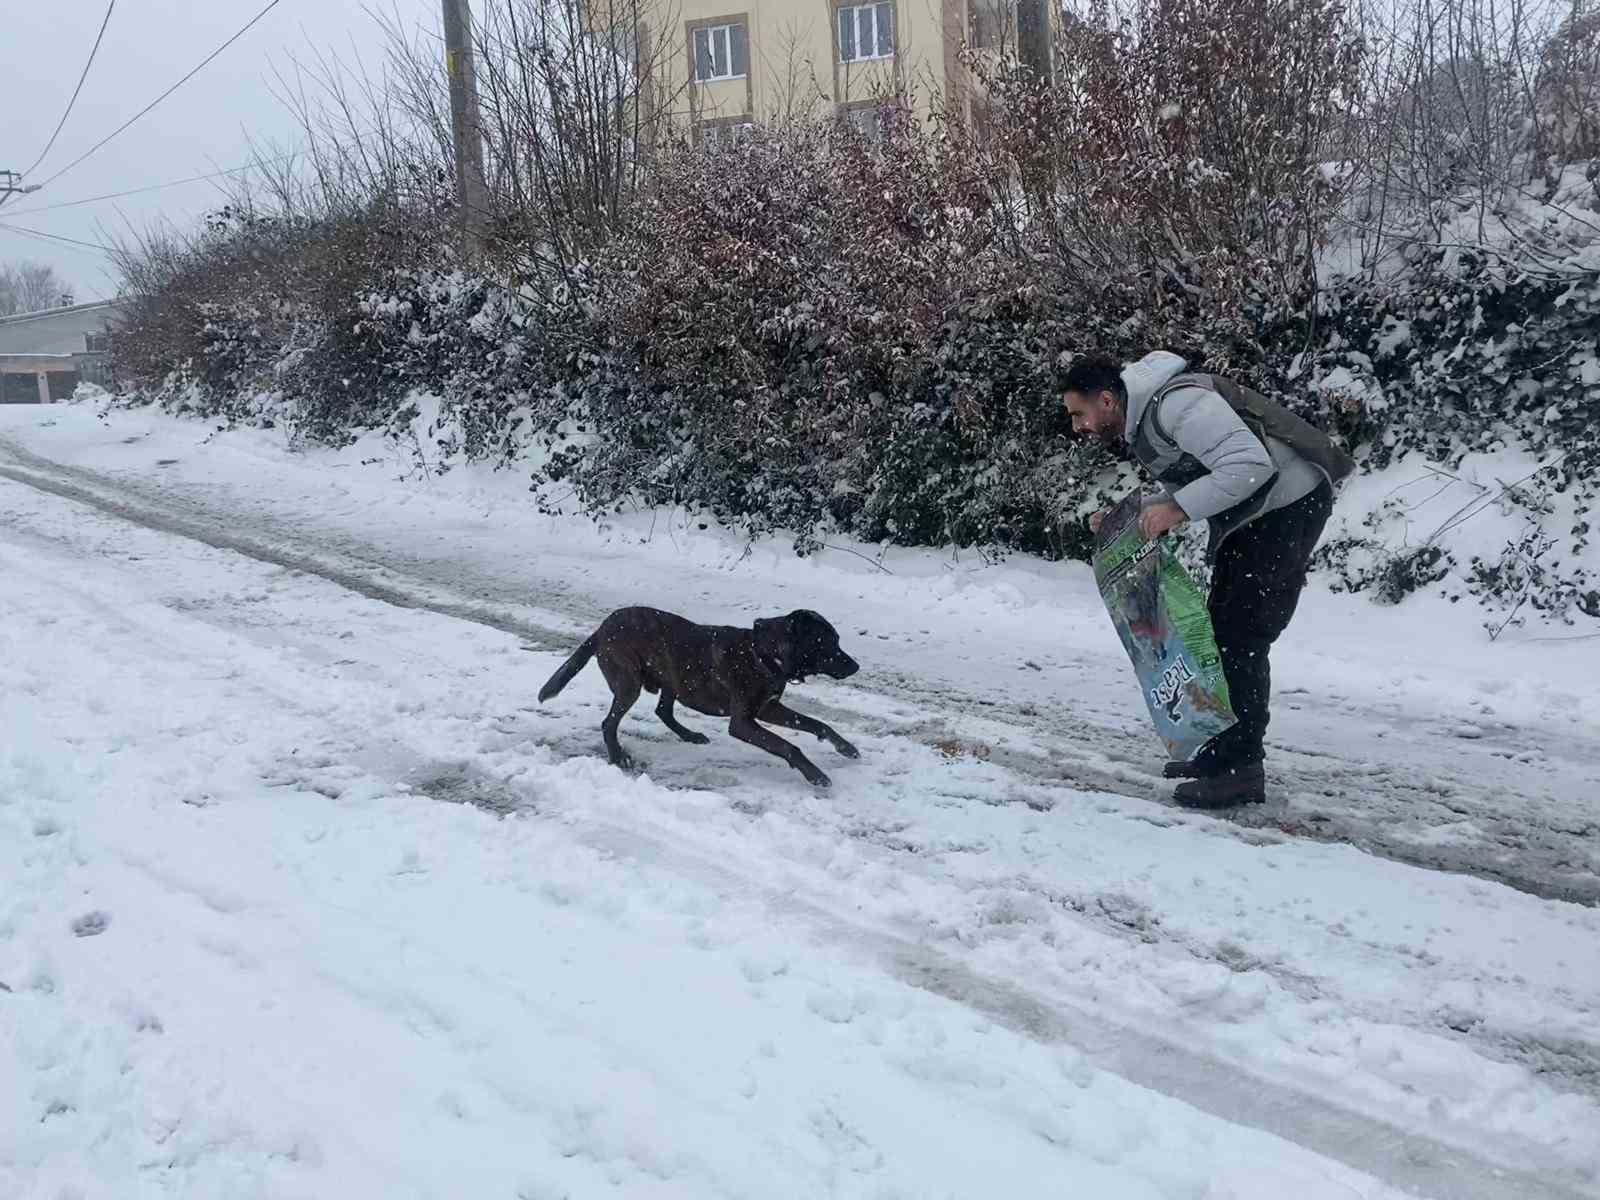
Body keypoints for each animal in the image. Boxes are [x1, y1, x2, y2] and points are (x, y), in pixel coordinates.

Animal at [537, 611, 864, 790]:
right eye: (827, 642)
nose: (856, 665)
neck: (764, 653)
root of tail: (602, 628)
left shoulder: (769, 708)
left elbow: (816, 723)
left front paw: (846, 748)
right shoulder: (743, 722)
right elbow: (789, 746)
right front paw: (816, 775)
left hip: (672, 677)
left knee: (663, 711)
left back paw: (690, 735)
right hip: (629, 682)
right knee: (609, 722)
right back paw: (619, 757)